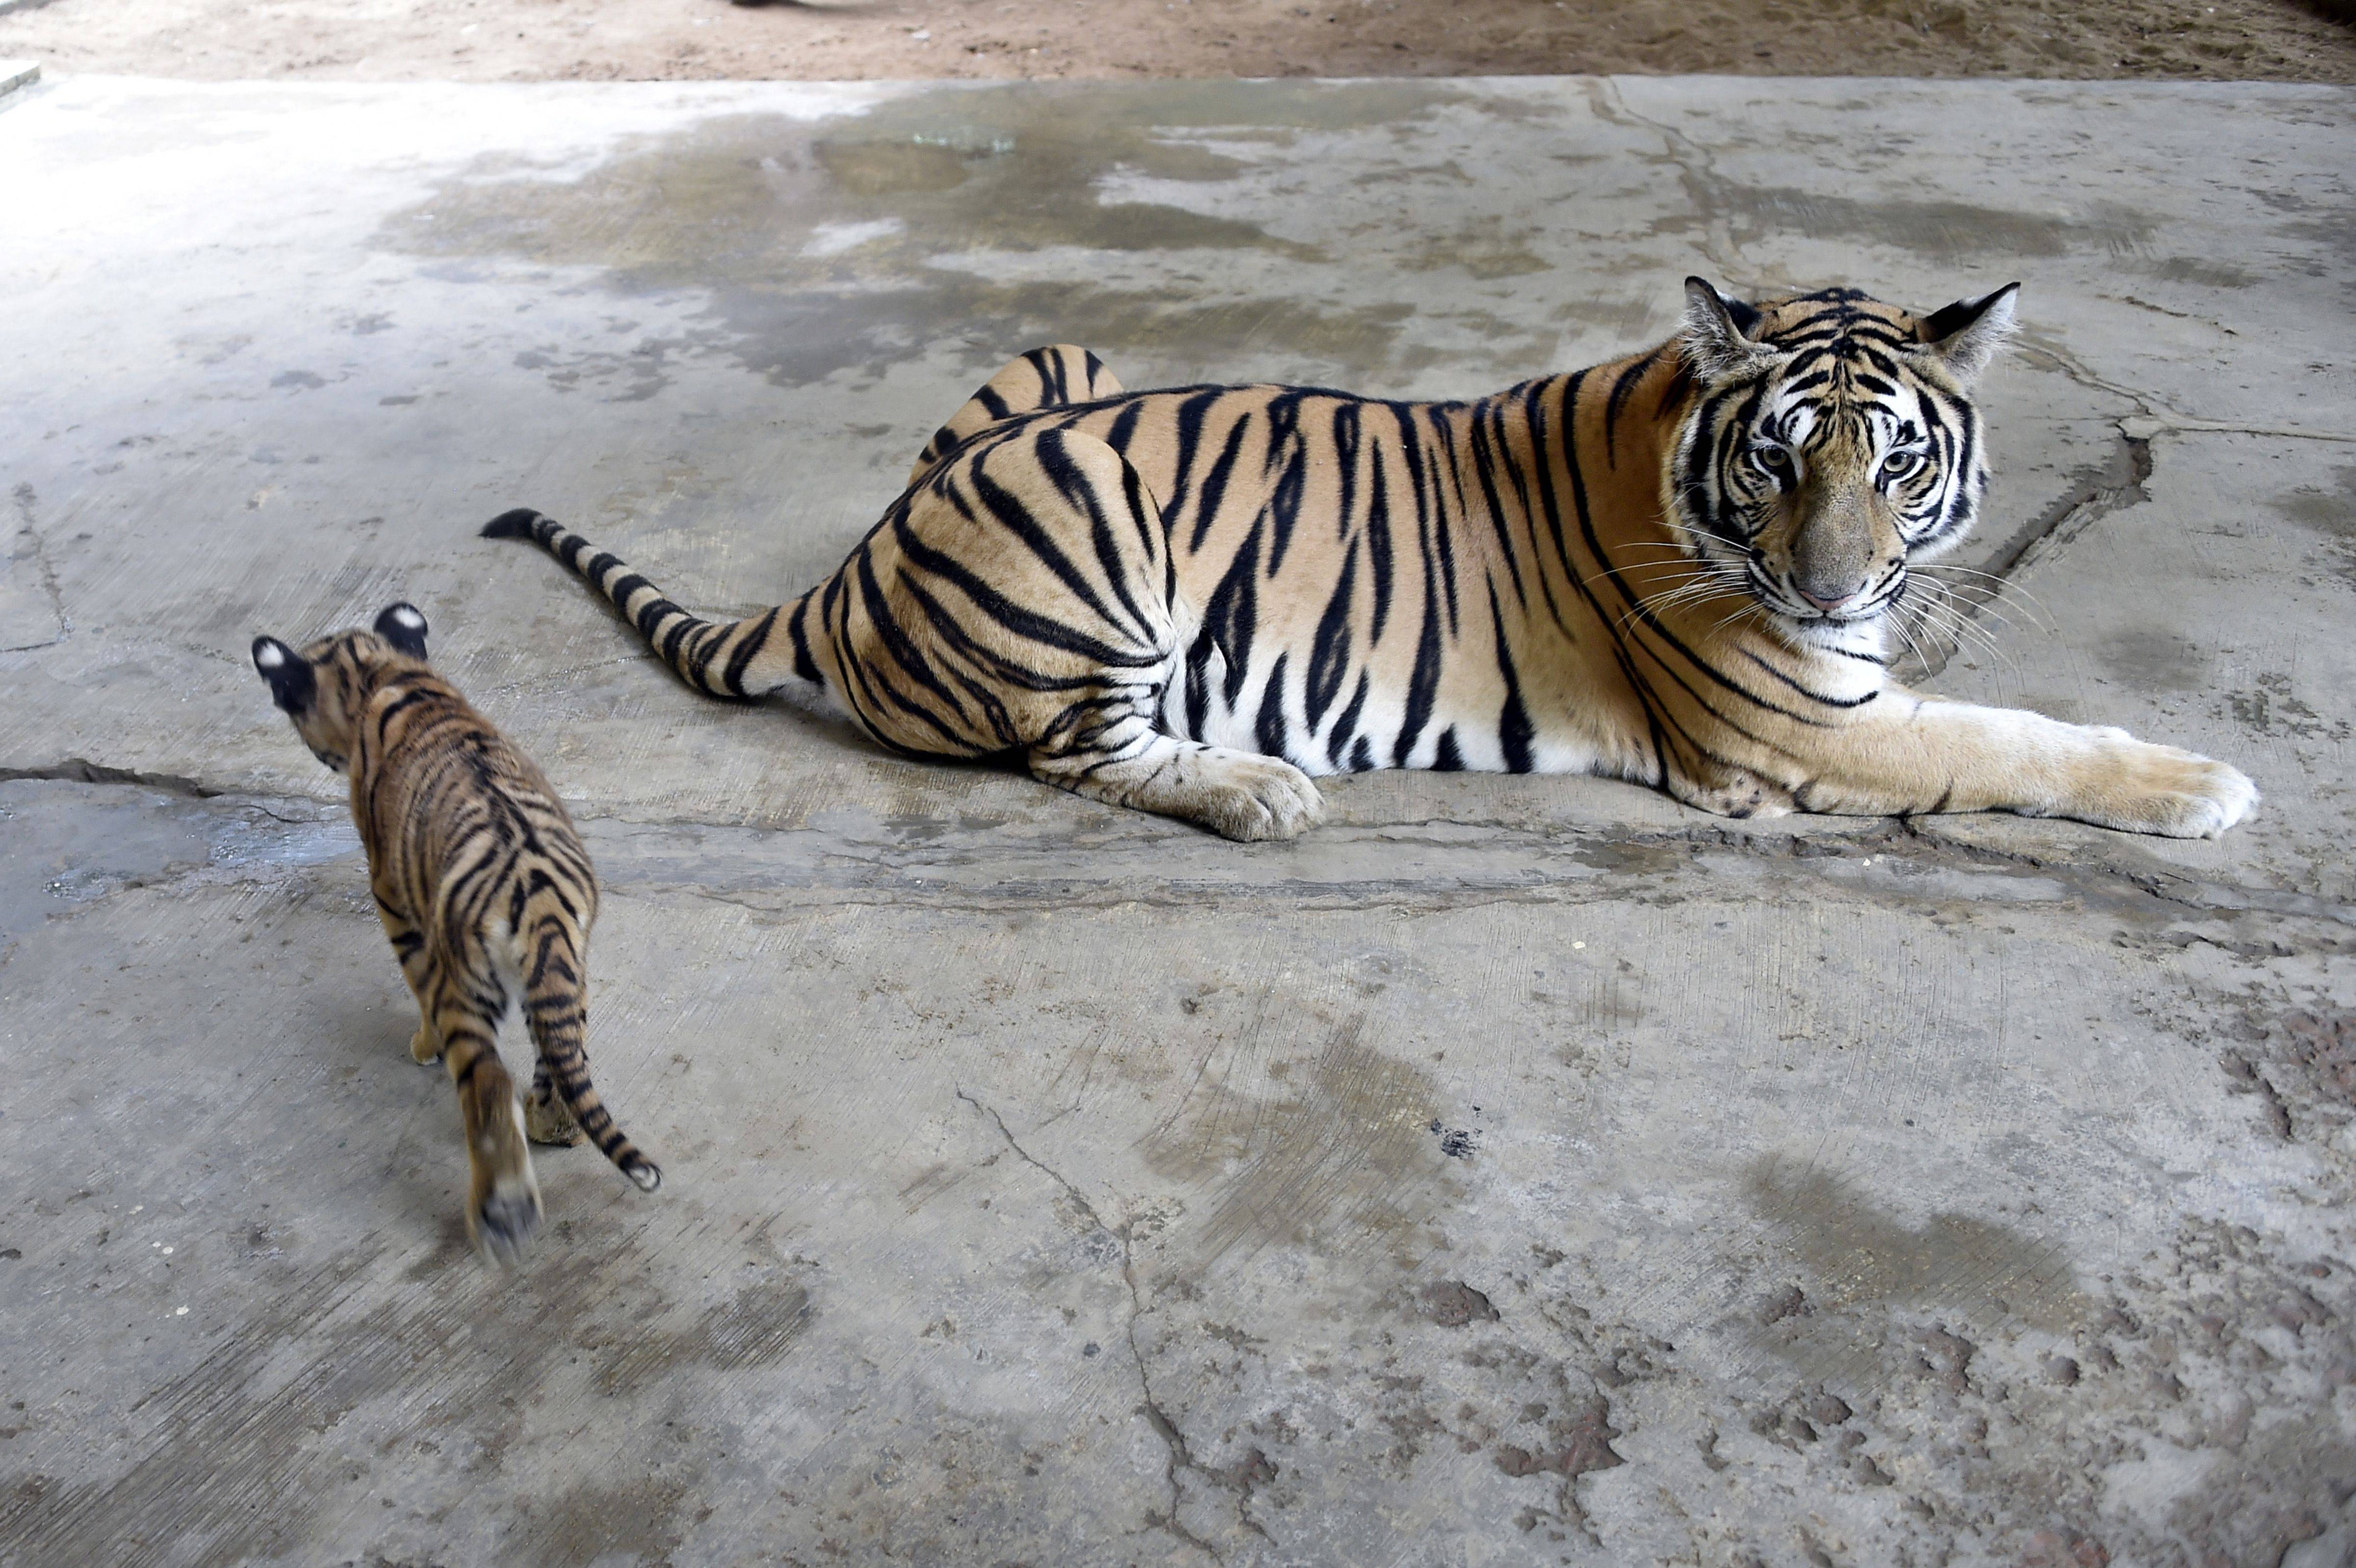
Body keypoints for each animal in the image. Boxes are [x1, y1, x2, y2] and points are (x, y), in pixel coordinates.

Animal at [473, 281, 2243, 843]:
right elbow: (2016, 743)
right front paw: (2208, 784)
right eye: (1779, 454)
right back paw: (1260, 792)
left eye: (1898, 460)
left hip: (1065, 365)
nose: (1826, 589)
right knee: (1075, 753)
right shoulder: (1795, 728)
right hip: (1090, 506)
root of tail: (857, 559)